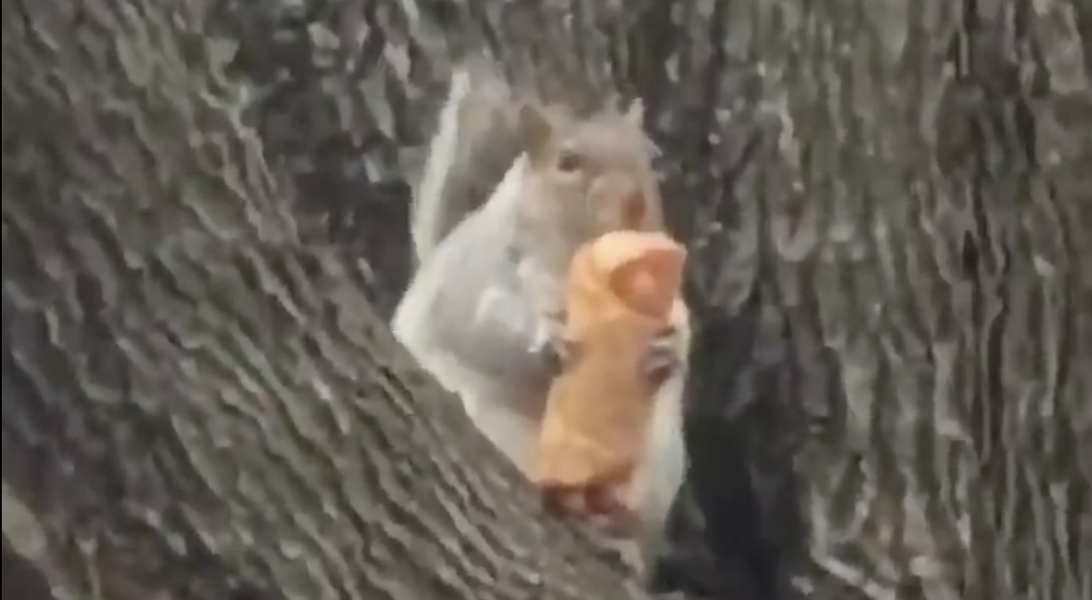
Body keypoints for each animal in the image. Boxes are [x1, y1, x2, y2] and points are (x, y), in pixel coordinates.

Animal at [392, 63, 690, 574]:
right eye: (567, 162)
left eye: (649, 160)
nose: (635, 202)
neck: (573, 256)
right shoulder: (488, 276)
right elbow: (487, 322)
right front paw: (546, 336)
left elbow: (683, 332)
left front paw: (667, 353)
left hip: (660, 464)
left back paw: (620, 535)